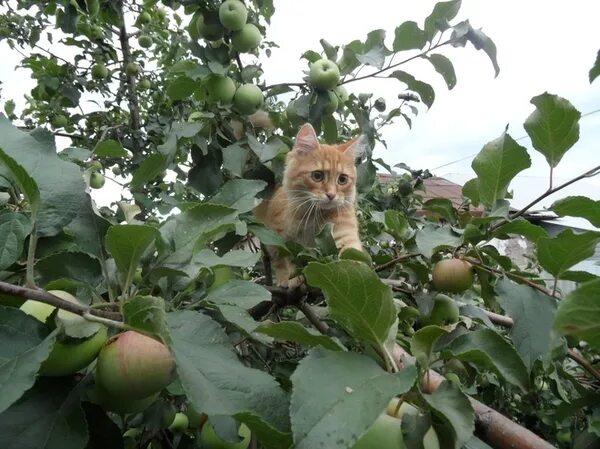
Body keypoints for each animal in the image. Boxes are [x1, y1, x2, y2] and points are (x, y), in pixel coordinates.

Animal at [253, 121, 366, 288]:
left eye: (342, 179)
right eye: (317, 176)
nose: (331, 195)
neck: (315, 218)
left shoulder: (343, 232)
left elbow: (351, 255)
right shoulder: (280, 239)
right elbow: (285, 263)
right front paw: (290, 279)